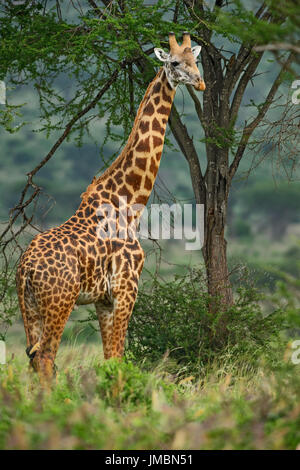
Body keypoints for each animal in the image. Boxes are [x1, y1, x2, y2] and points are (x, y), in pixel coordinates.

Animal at [15, 31, 204, 384]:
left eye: (195, 60)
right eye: (174, 62)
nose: (200, 83)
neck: (130, 202)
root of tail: (25, 269)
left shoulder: (103, 300)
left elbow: (109, 359)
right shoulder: (125, 290)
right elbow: (117, 359)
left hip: (29, 306)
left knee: (33, 359)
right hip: (60, 302)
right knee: (46, 357)